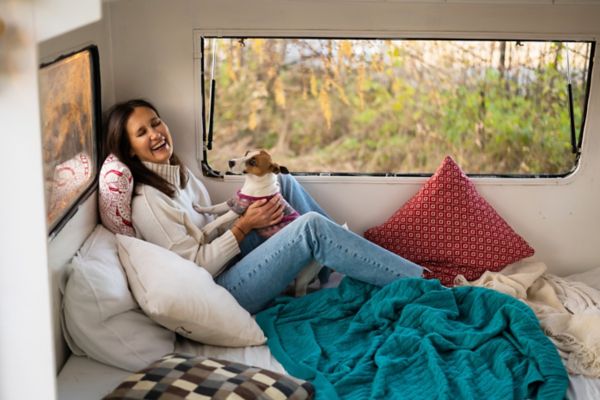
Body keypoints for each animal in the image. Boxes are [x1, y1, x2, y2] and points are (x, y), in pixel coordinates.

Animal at [195, 150, 322, 296]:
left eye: (253, 162)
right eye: (246, 153)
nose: (230, 162)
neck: (254, 183)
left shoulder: (239, 209)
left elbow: (221, 218)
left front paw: (207, 228)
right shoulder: (234, 202)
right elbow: (215, 208)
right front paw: (200, 209)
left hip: (302, 279)